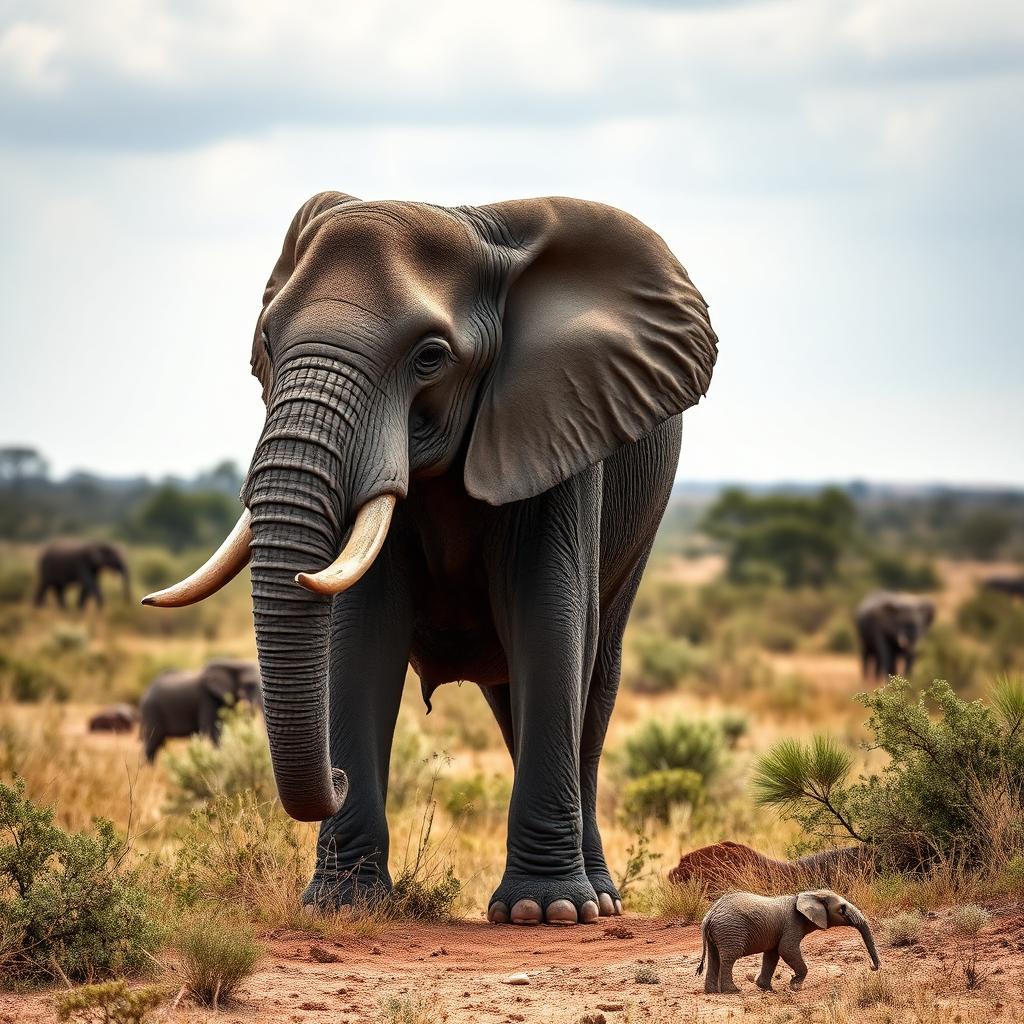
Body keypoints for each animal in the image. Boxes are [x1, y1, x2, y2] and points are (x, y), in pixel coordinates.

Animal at [142, 192, 717, 925]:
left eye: (431, 357)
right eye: (267, 342)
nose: (334, 774)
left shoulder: (559, 423)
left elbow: (550, 620)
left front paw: (547, 913)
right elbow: (362, 637)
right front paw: (344, 905)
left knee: (593, 680)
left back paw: (600, 901)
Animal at [698, 889, 880, 993]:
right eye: (842, 909)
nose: (872, 967)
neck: (809, 894)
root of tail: (709, 916)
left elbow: (772, 954)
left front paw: (766, 988)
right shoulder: (792, 923)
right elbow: (787, 950)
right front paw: (794, 986)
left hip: (719, 933)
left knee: (714, 957)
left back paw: (711, 992)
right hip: (730, 930)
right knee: (729, 957)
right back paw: (733, 991)